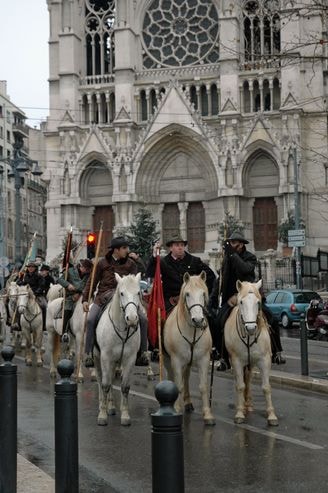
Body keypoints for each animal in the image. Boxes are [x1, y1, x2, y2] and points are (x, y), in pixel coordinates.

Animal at [94, 272, 142, 426]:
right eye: (121, 293)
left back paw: (111, 406)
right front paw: (102, 416)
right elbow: (105, 384)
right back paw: (102, 404)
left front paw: (125, 415)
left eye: (138, 292)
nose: (132, 319)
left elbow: (125, 387)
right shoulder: (105, 357)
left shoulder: (129, 359)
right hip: (97, 358)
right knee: (100, 379)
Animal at [163, 270, 215, 424]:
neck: (192, 331)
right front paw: (176, 409)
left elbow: (203, 386)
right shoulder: (176, 360)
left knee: (186, 377)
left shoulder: (204, 359)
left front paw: (207, 414)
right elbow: (178, 385)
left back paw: (188, 402)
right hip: (168, 359)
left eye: (203, 293)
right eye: (187, 294)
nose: (198, 320)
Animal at [224, 278, 278, 424]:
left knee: (248, 378)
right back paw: (242, 405)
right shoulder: (236, 361)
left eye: (258, 302)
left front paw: (271, 415)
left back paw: (248, 404)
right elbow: (240, 386)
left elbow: (266, 387)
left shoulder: (264, 360)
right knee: (240, 381)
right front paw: (239, 413)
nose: (251, 328)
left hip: (251, 362)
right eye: (241, 302)